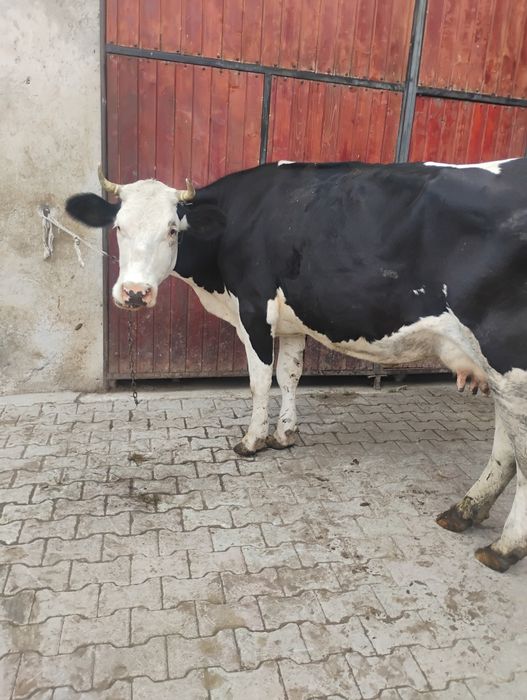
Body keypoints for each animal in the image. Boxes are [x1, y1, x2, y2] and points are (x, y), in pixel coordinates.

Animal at [66, 158, 527, 572]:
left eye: (172, 230)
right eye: (119, 227)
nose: (135, 293)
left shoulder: (254, 311)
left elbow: (259, 381)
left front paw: (253, 440)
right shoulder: (290, 322)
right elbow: (289, 375)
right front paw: (284, 434)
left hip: (508, 357)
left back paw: (504, 547)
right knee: (506, 443)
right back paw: (465, 511)